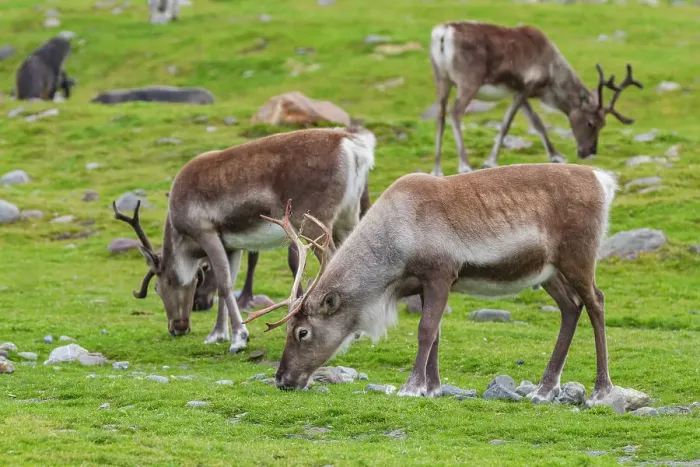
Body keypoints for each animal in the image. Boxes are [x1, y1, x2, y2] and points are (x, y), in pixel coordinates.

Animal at [113, 127, 375, 354]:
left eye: (158, 287)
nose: (176, 328)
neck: (183, 239)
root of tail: (350, 144)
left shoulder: (206, 232)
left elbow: (225, 284)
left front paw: (239, 338)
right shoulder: (231, 245)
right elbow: (224, 283)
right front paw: (217, 334)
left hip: (315, 222)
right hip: (347, 218)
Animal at [245, 163, 620, 407]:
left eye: (302, 332)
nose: (281, 379)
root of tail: (602, 180)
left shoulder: (441, 272)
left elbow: (426, 330)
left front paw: (411, 387)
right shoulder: (424, 284)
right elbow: (436, 333)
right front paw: (433, 388)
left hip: (578, 257)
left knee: (597, 302)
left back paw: (602, 389)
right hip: (547, 272)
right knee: (571, 307)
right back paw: (544, 389)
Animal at [429, 20, 643, 176]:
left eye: (603, 124)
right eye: (591, 123)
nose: (589, 151)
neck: (552, 77)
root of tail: (443, 33)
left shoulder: (518, 92)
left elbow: (537, 122)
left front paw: (557, 155)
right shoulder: (525, 88)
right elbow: (507, 124)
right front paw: (490, 161)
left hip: (441, 78)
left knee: (440, 115)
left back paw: (437, 169)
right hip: (468, 81)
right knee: (455, 112)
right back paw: (464, 164)